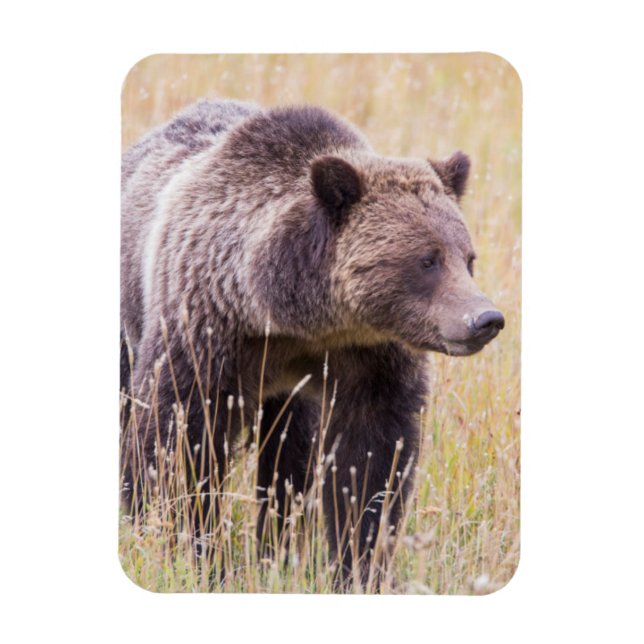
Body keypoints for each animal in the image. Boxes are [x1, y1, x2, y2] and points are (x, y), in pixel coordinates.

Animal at [120, 99, 505, 588]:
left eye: (468, 258)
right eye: (427, 260)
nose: (485, 319)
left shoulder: (369, 359)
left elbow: (371, 463)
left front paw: (358, 566)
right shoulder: (204, 329)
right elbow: (175, 445)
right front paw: (193, 553)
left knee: (288, 462)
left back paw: (276, 551)